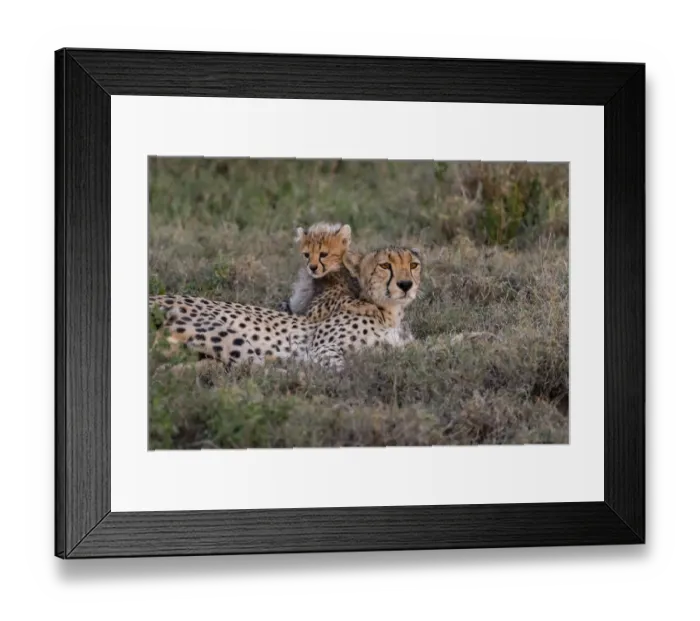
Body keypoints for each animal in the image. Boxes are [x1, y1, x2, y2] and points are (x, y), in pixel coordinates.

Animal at [149, 245, 423, 372]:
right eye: (385, 265)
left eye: (414, 265)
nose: (405, 284)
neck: (390, 313)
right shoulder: (322, 348)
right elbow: (338, 367)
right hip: (219, 330)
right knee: (254, 368)